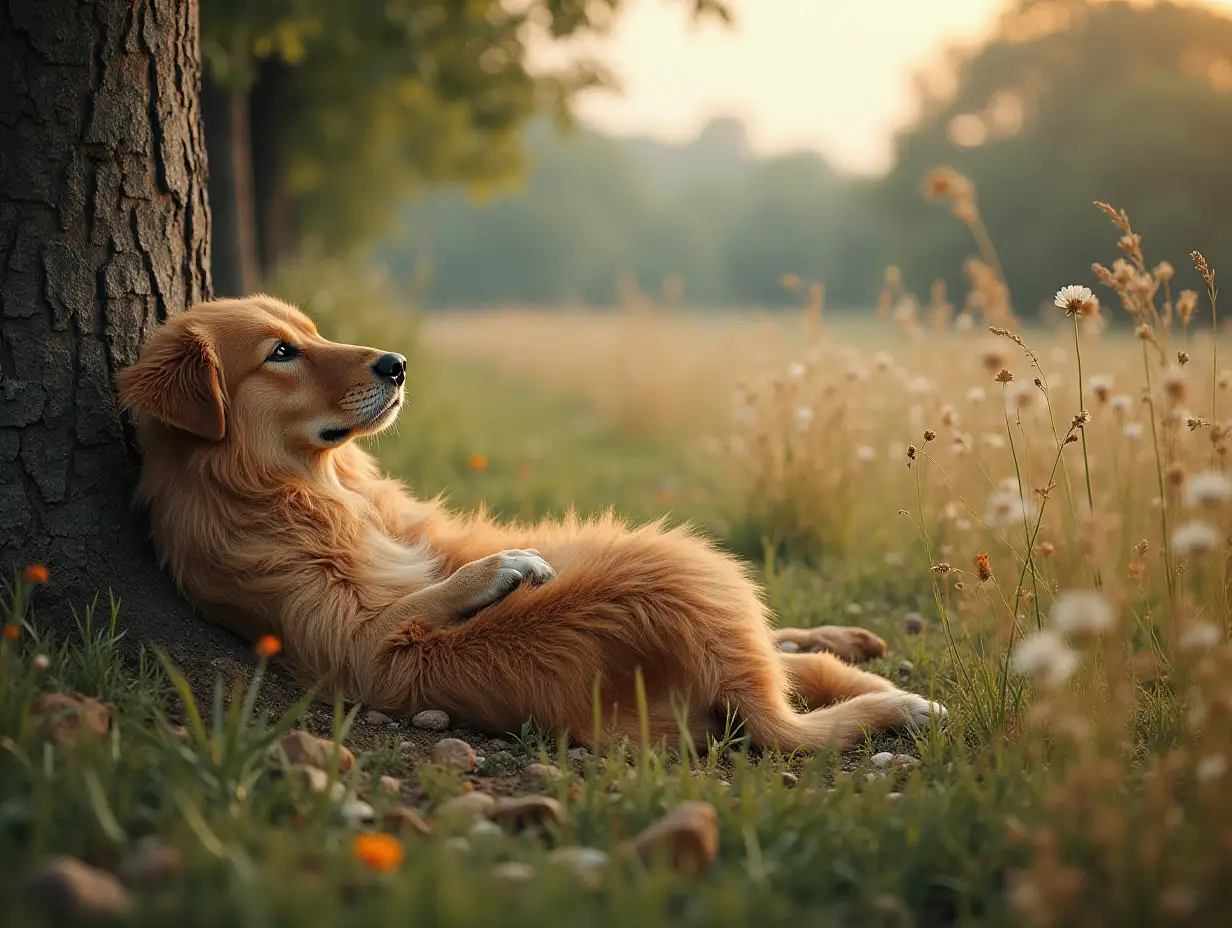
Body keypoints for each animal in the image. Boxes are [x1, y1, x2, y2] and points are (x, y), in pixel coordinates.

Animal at [117, 297, 941, 754]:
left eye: (312, 332)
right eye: (281, 353)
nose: (397, 364)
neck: (308, 485)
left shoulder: (426, 537)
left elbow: (444, 565)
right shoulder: (351, 653)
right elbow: (406, 614)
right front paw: (500, 573)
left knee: (796, 661)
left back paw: (844, 645)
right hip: (682, 562)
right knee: (796, 714)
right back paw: (895, 701)